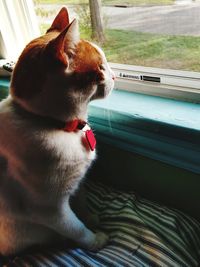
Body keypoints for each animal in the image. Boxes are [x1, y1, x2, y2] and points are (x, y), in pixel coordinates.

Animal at [0, 6, 115, 258]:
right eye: (100, 68)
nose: (115, 76)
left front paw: (91, 217)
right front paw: (95, 240)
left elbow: (81, 203)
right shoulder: (51, 210)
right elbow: (76, 228)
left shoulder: (76, 185)